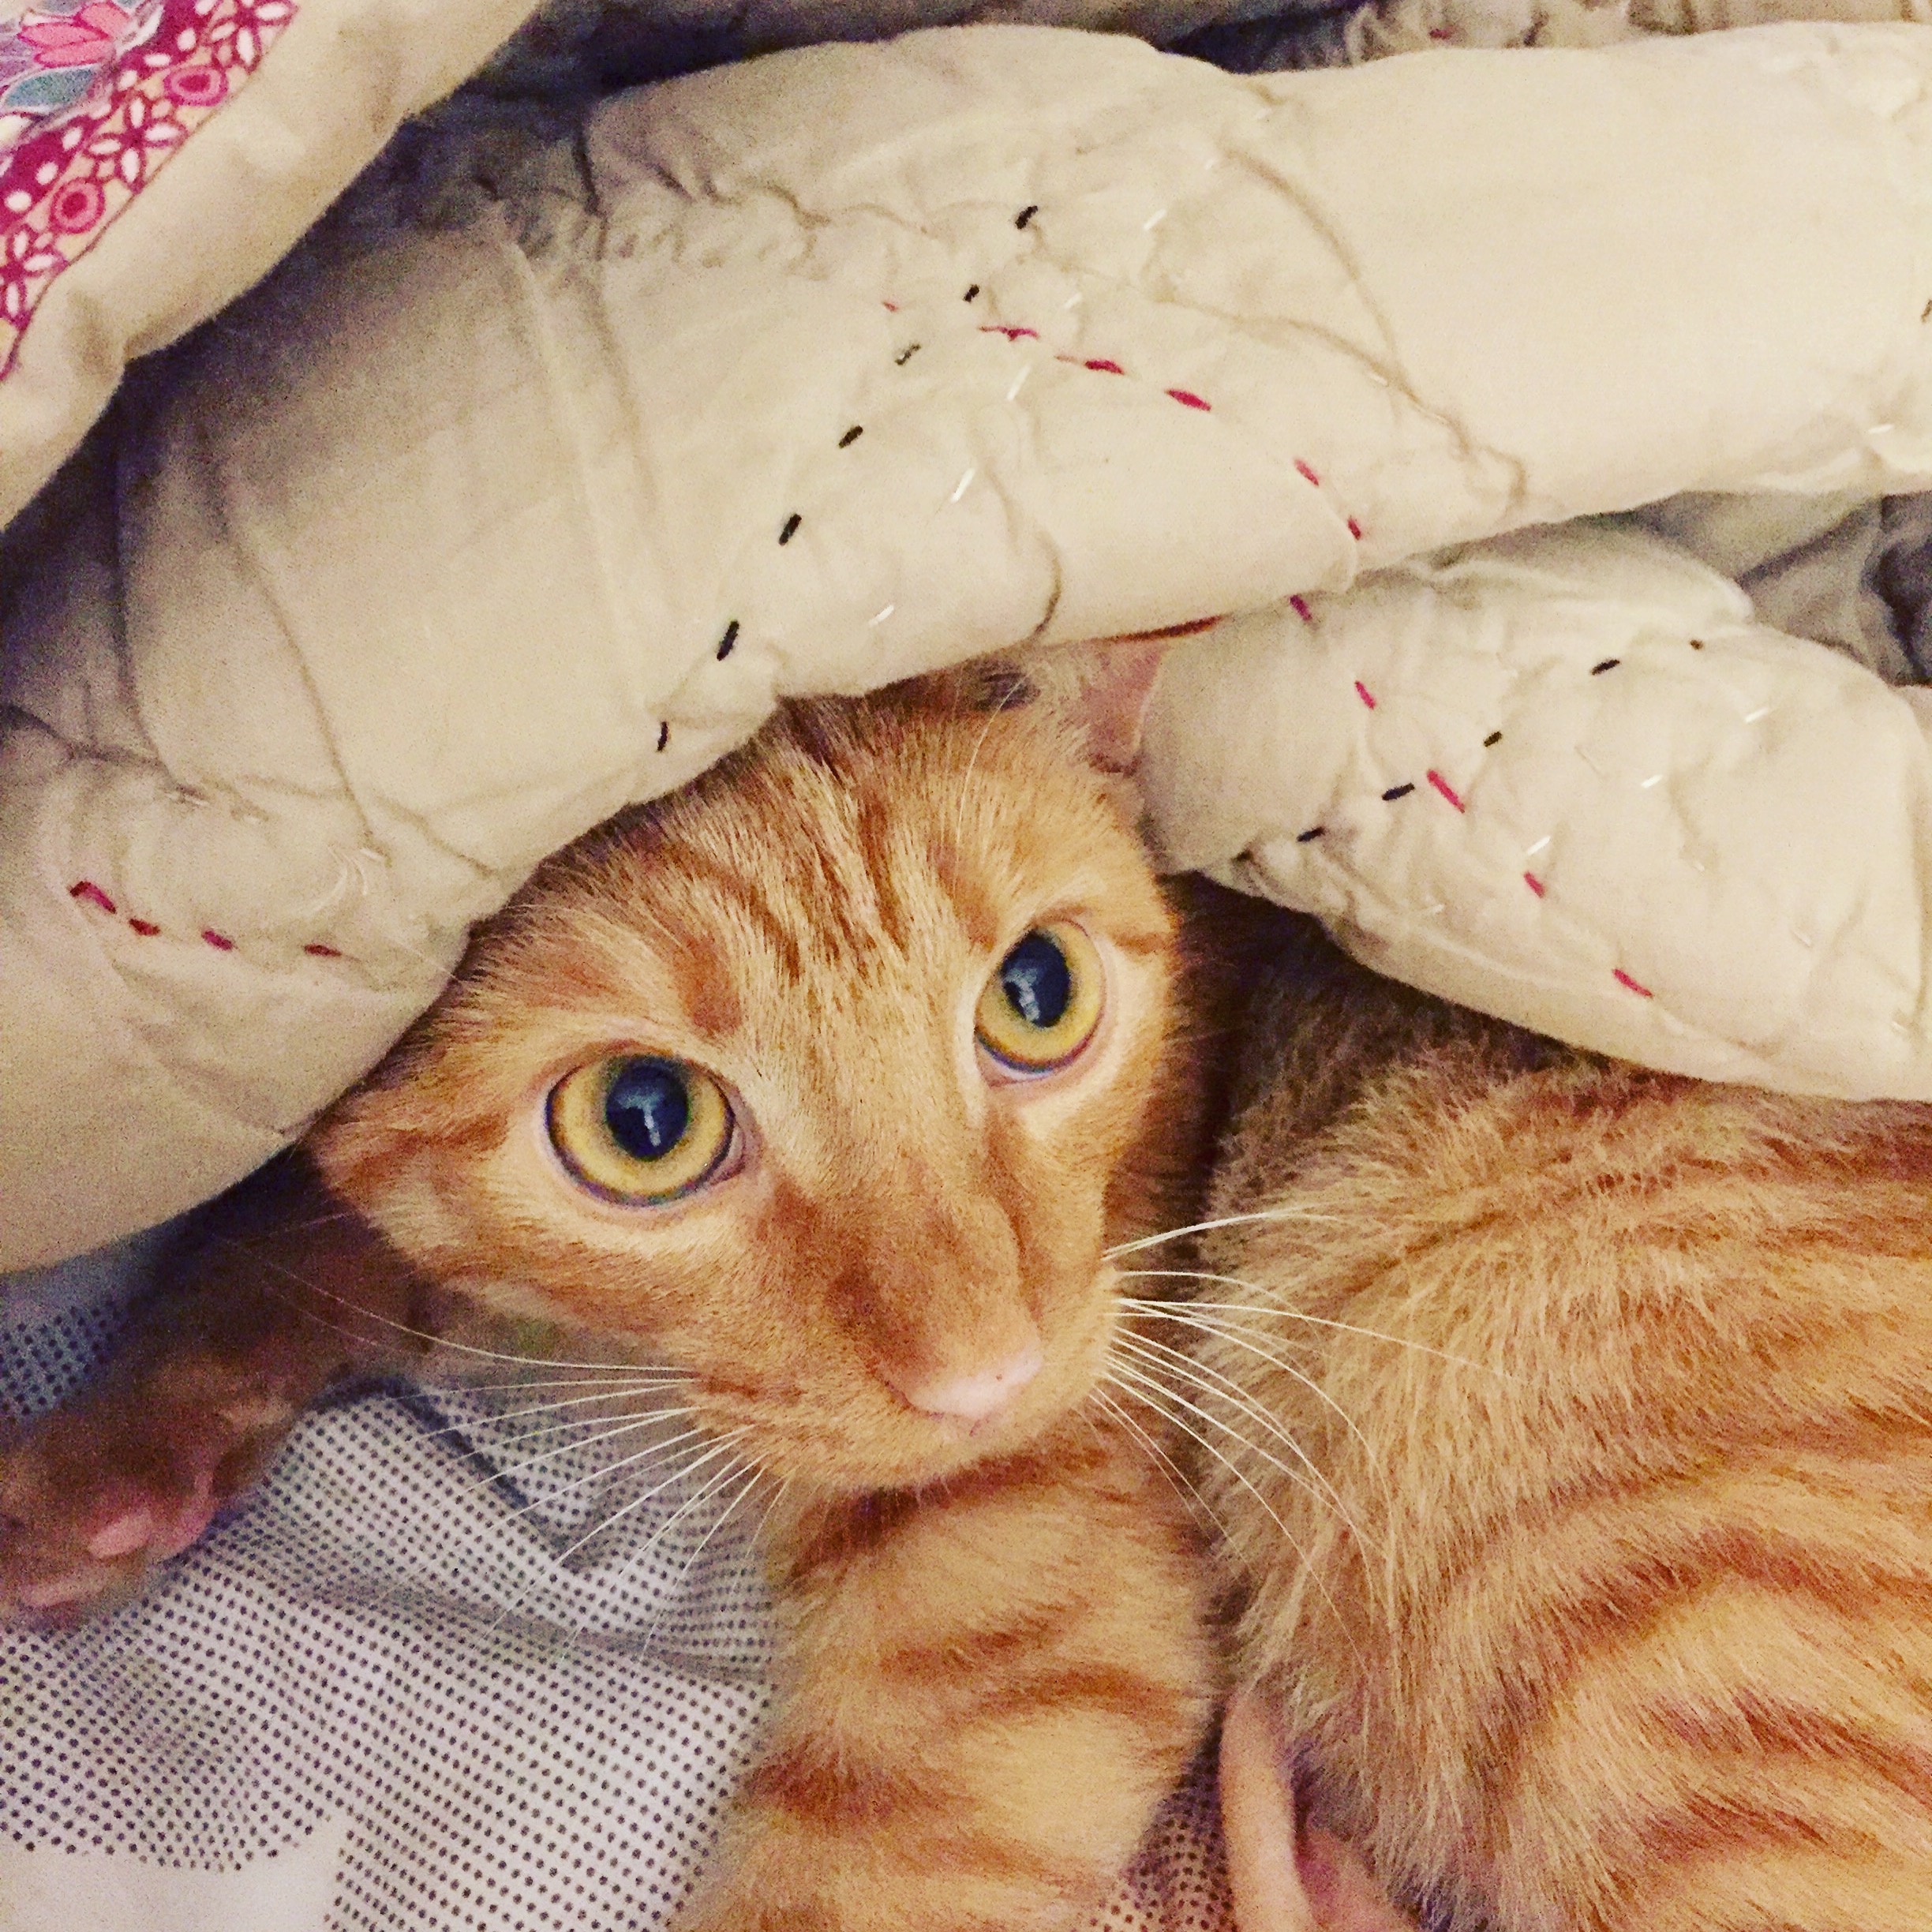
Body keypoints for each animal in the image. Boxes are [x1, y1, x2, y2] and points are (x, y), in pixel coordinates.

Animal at [0, 664, 1234, 1932]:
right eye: (646, 1119)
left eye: (1040, 994)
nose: (990, 1378)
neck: (616, 1358)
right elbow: (282, 1242)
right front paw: (120, 1447)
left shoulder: (1025, 1574)